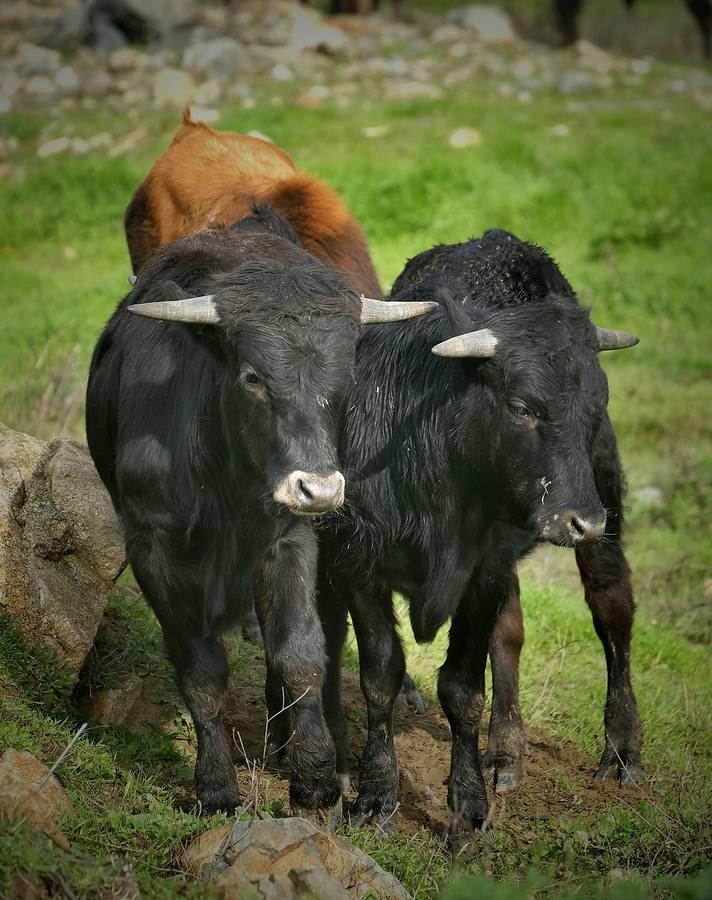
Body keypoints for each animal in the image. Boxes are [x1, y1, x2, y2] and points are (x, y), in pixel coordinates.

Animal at [85, 211, 434, 816]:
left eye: (345, 379)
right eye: (252, 377)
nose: (319, 489)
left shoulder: (289, 537)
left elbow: (299, 652)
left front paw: (315, 775)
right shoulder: (151, 547)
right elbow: (200, 669)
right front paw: (216, 787)